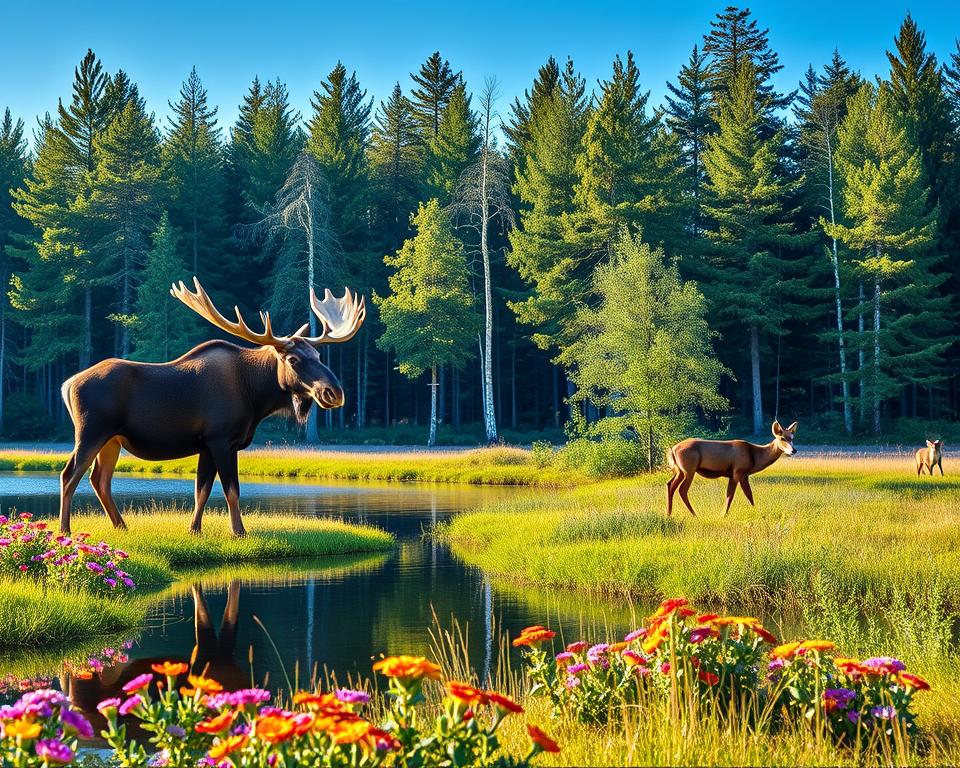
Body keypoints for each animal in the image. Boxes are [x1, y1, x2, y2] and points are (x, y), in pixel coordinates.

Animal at [59, 278, 365, 536]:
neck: (256, 396)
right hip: (91, 432)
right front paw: (239, 531)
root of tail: (67, 384)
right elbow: (232, 490)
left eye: (319, 355)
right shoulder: (221, 439)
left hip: (112, 440)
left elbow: (201, 490)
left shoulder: (206, 444)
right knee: (70, 474)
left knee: (100, 479)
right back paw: (66, 530)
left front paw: (194, 530)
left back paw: (121, 525)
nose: (334, 392)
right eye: (293, 359)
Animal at [666, 420, 798, 517]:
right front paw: (756, 512)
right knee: (682, 489)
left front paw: (723, 514)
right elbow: (747, 494)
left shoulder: (735, 475)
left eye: (792, 437)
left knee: (670, 484)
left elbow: (729, 495)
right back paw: (694, 514)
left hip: (679, 471)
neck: (755, 457)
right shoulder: (739, 472)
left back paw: (669, 513)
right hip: (689, 469)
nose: (794, 450)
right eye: (782, 438)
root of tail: (672, 449)